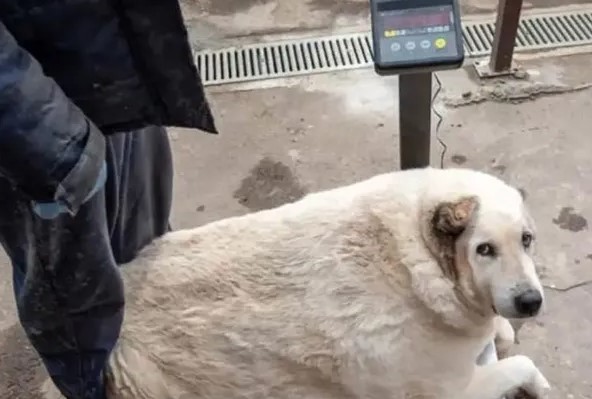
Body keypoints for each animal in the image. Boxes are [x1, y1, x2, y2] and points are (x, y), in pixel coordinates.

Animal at [41, 167, 552, 399]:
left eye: (527, 240)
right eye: (484, 249)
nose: (531, 301)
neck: (420, 264)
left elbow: (501, 336)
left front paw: (500, 332)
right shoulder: (446, 391)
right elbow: (521, 360)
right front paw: (540, 383)